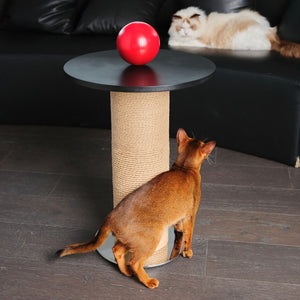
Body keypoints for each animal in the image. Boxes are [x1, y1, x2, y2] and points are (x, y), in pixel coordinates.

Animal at [56, 128, 216, 288]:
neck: (184, 168)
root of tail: (110, 217)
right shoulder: (191, 214)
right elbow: (189, 236)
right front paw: (187, 252)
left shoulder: (180, 215)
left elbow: (179, 228)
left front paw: (179, 232)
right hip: (151, 237)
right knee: (135, 262)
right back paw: (148, 281)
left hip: (130, 240)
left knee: (117, 250)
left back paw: (126, 272)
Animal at [169, 6, 300, 58]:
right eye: (181, 28)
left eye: (191, 27)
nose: (186, 33)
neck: (204, 23)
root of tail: (273, 36)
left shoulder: (201, 42)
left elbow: (180, 42)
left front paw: (172, 42)